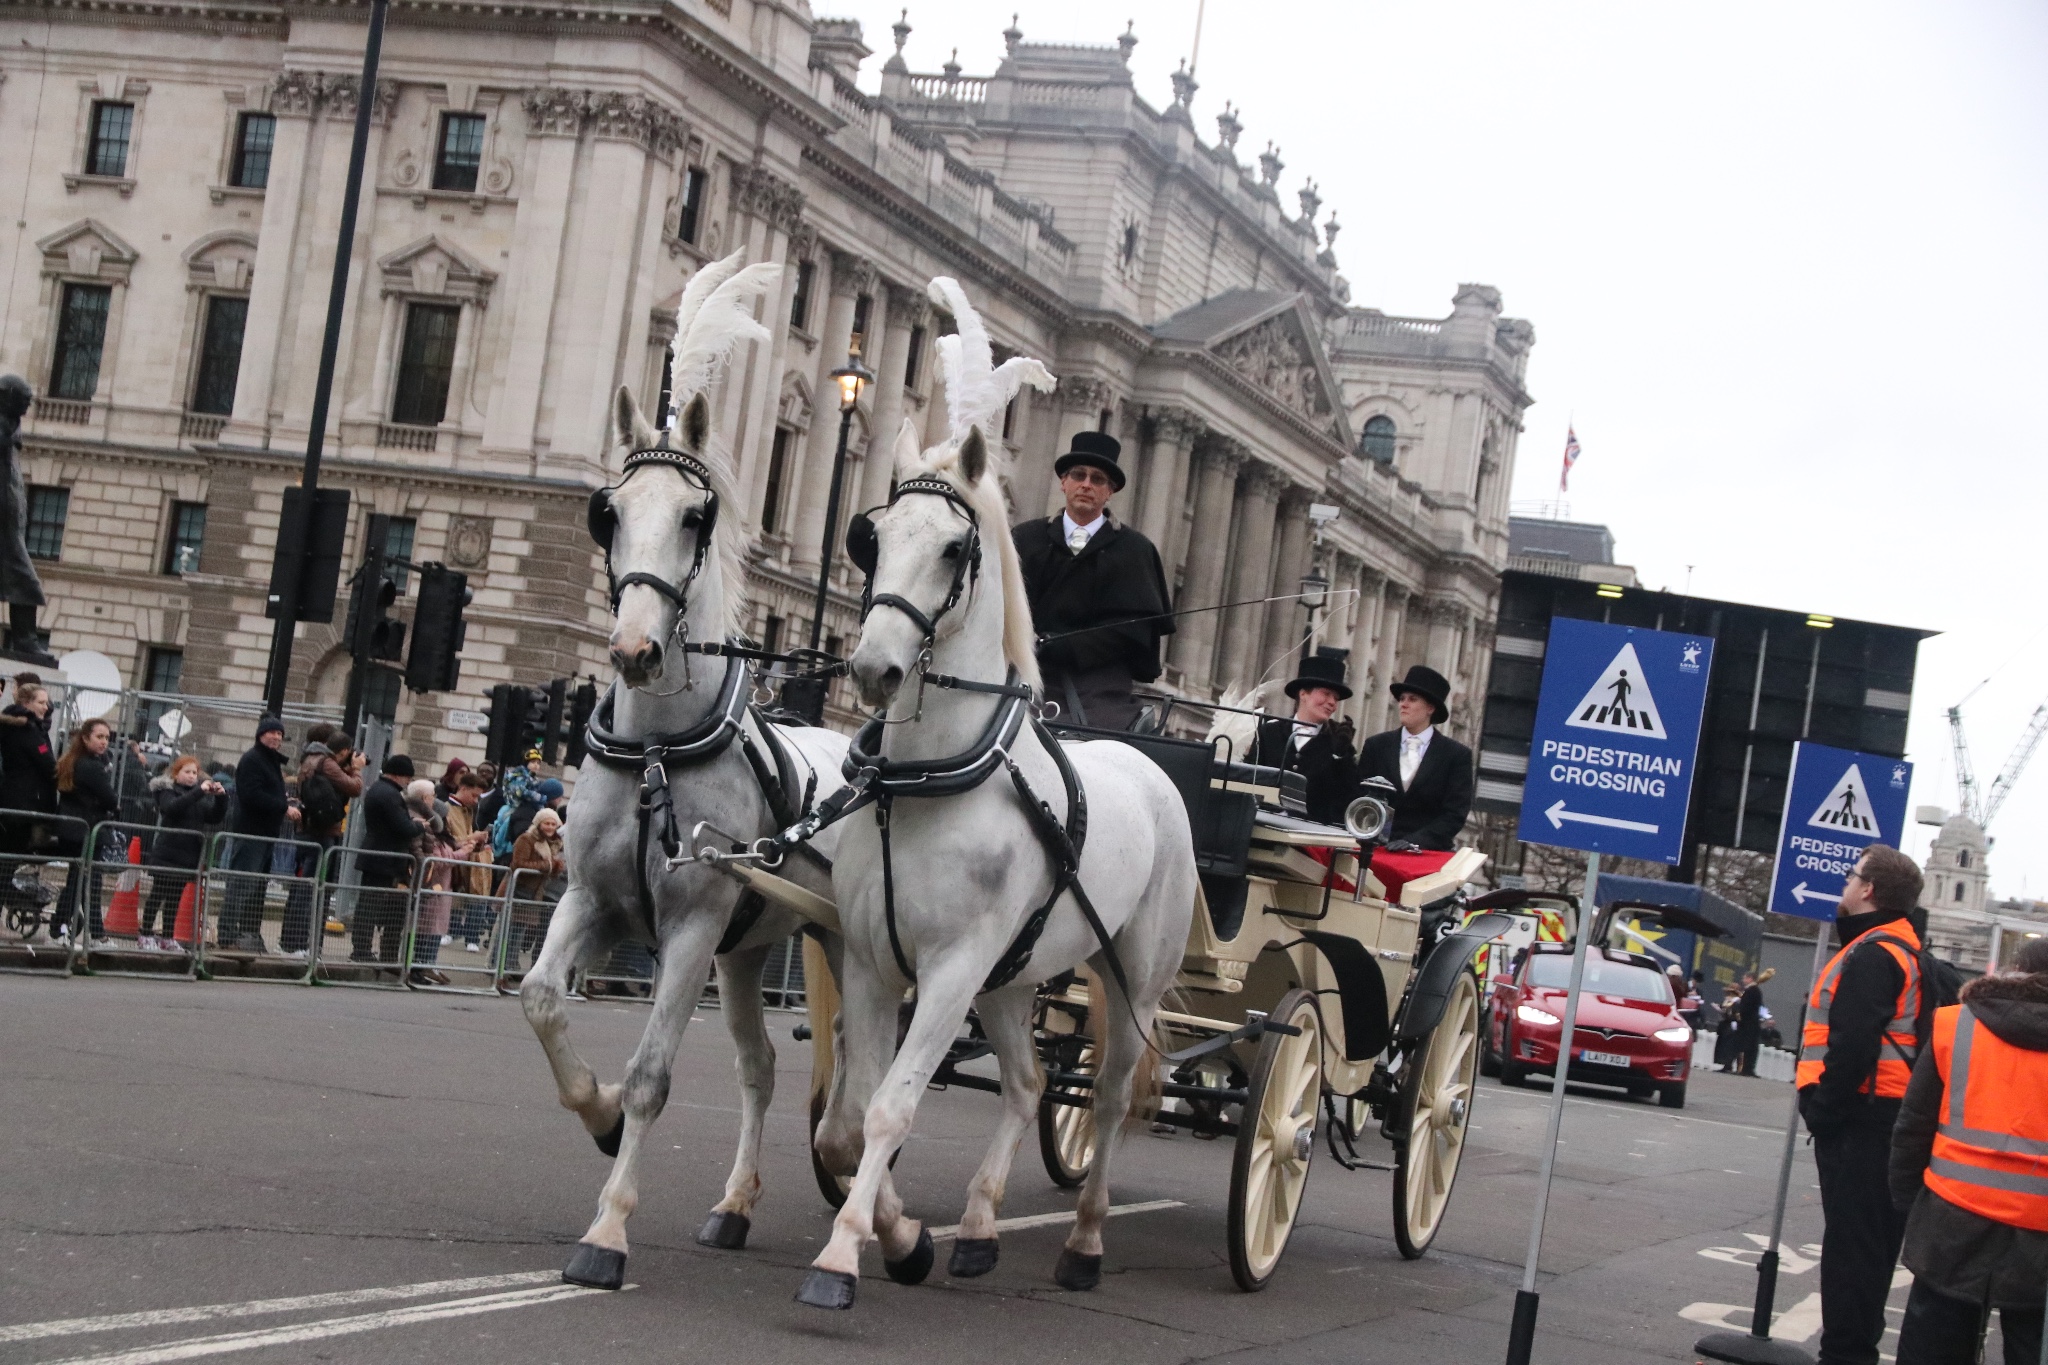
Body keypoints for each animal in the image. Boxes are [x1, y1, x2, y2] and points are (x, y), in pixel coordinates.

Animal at [528, 253, 856, 1293]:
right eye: (609, 512)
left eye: (694, 513)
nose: (633, 651)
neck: (658, 755)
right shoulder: (593, 899)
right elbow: (541, 999)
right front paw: (592, 1113)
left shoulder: (689, 927)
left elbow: (652, 1075)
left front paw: (607, 1229)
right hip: (752, 952)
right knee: (761, 1066)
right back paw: (736, 1204)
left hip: (835, 943)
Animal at [794, 341, 1196, 1301]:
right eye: (872, 537)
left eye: (953, 548)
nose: (873, 668)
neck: (925, 782)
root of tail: (1153, 769)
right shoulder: (874, 959)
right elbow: (849, 1117)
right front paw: (905, 1236)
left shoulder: (951, 968)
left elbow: (891, 1106)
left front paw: (845, 1250)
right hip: (1016, 979)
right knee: (1026, 1082)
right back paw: (977, 1226)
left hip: (1129, 980)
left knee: (1110, 1094)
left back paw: (1085, 1239)